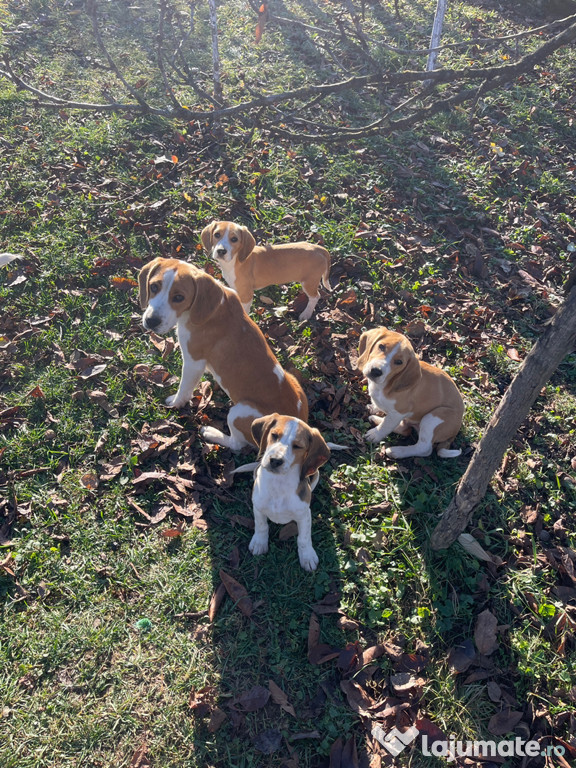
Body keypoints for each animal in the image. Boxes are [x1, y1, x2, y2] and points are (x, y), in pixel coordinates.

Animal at [139, 258, 308, 450]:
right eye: (153, 287)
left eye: (179, 297)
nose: (151, 321)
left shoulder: (193, 362)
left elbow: (184, 389)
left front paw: (175, 403)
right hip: (292, 378)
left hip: (238, 412)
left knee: (237, 445)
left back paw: (211, 433)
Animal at [200, 219, 330, 320]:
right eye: (217, 235)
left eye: (234, 239)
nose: (221, 251)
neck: (235, 260)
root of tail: (319, 249)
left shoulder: (247, 295)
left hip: (309, 282)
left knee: (315, 297)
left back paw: (306, 314)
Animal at [248, 414, 332, 568]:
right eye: (274, 435)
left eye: (297, 446)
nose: (275, 460)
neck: (279, 484)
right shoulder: (258, 507)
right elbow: (261, 526)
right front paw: (259, 543)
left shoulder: (304, 515)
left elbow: (304, 538)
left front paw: (307, 556)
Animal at [360, 328, 464, 460]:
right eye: (381, 346)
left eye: (399, 362)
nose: (376, 371)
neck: (386, 384)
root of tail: (455, 431)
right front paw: (374, 408)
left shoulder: (399, 413)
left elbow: (386, 426)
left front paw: (375, 434)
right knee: (405, 429)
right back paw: (376, 419)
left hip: (433, 417)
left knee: (424, 448)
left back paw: (397, 451)